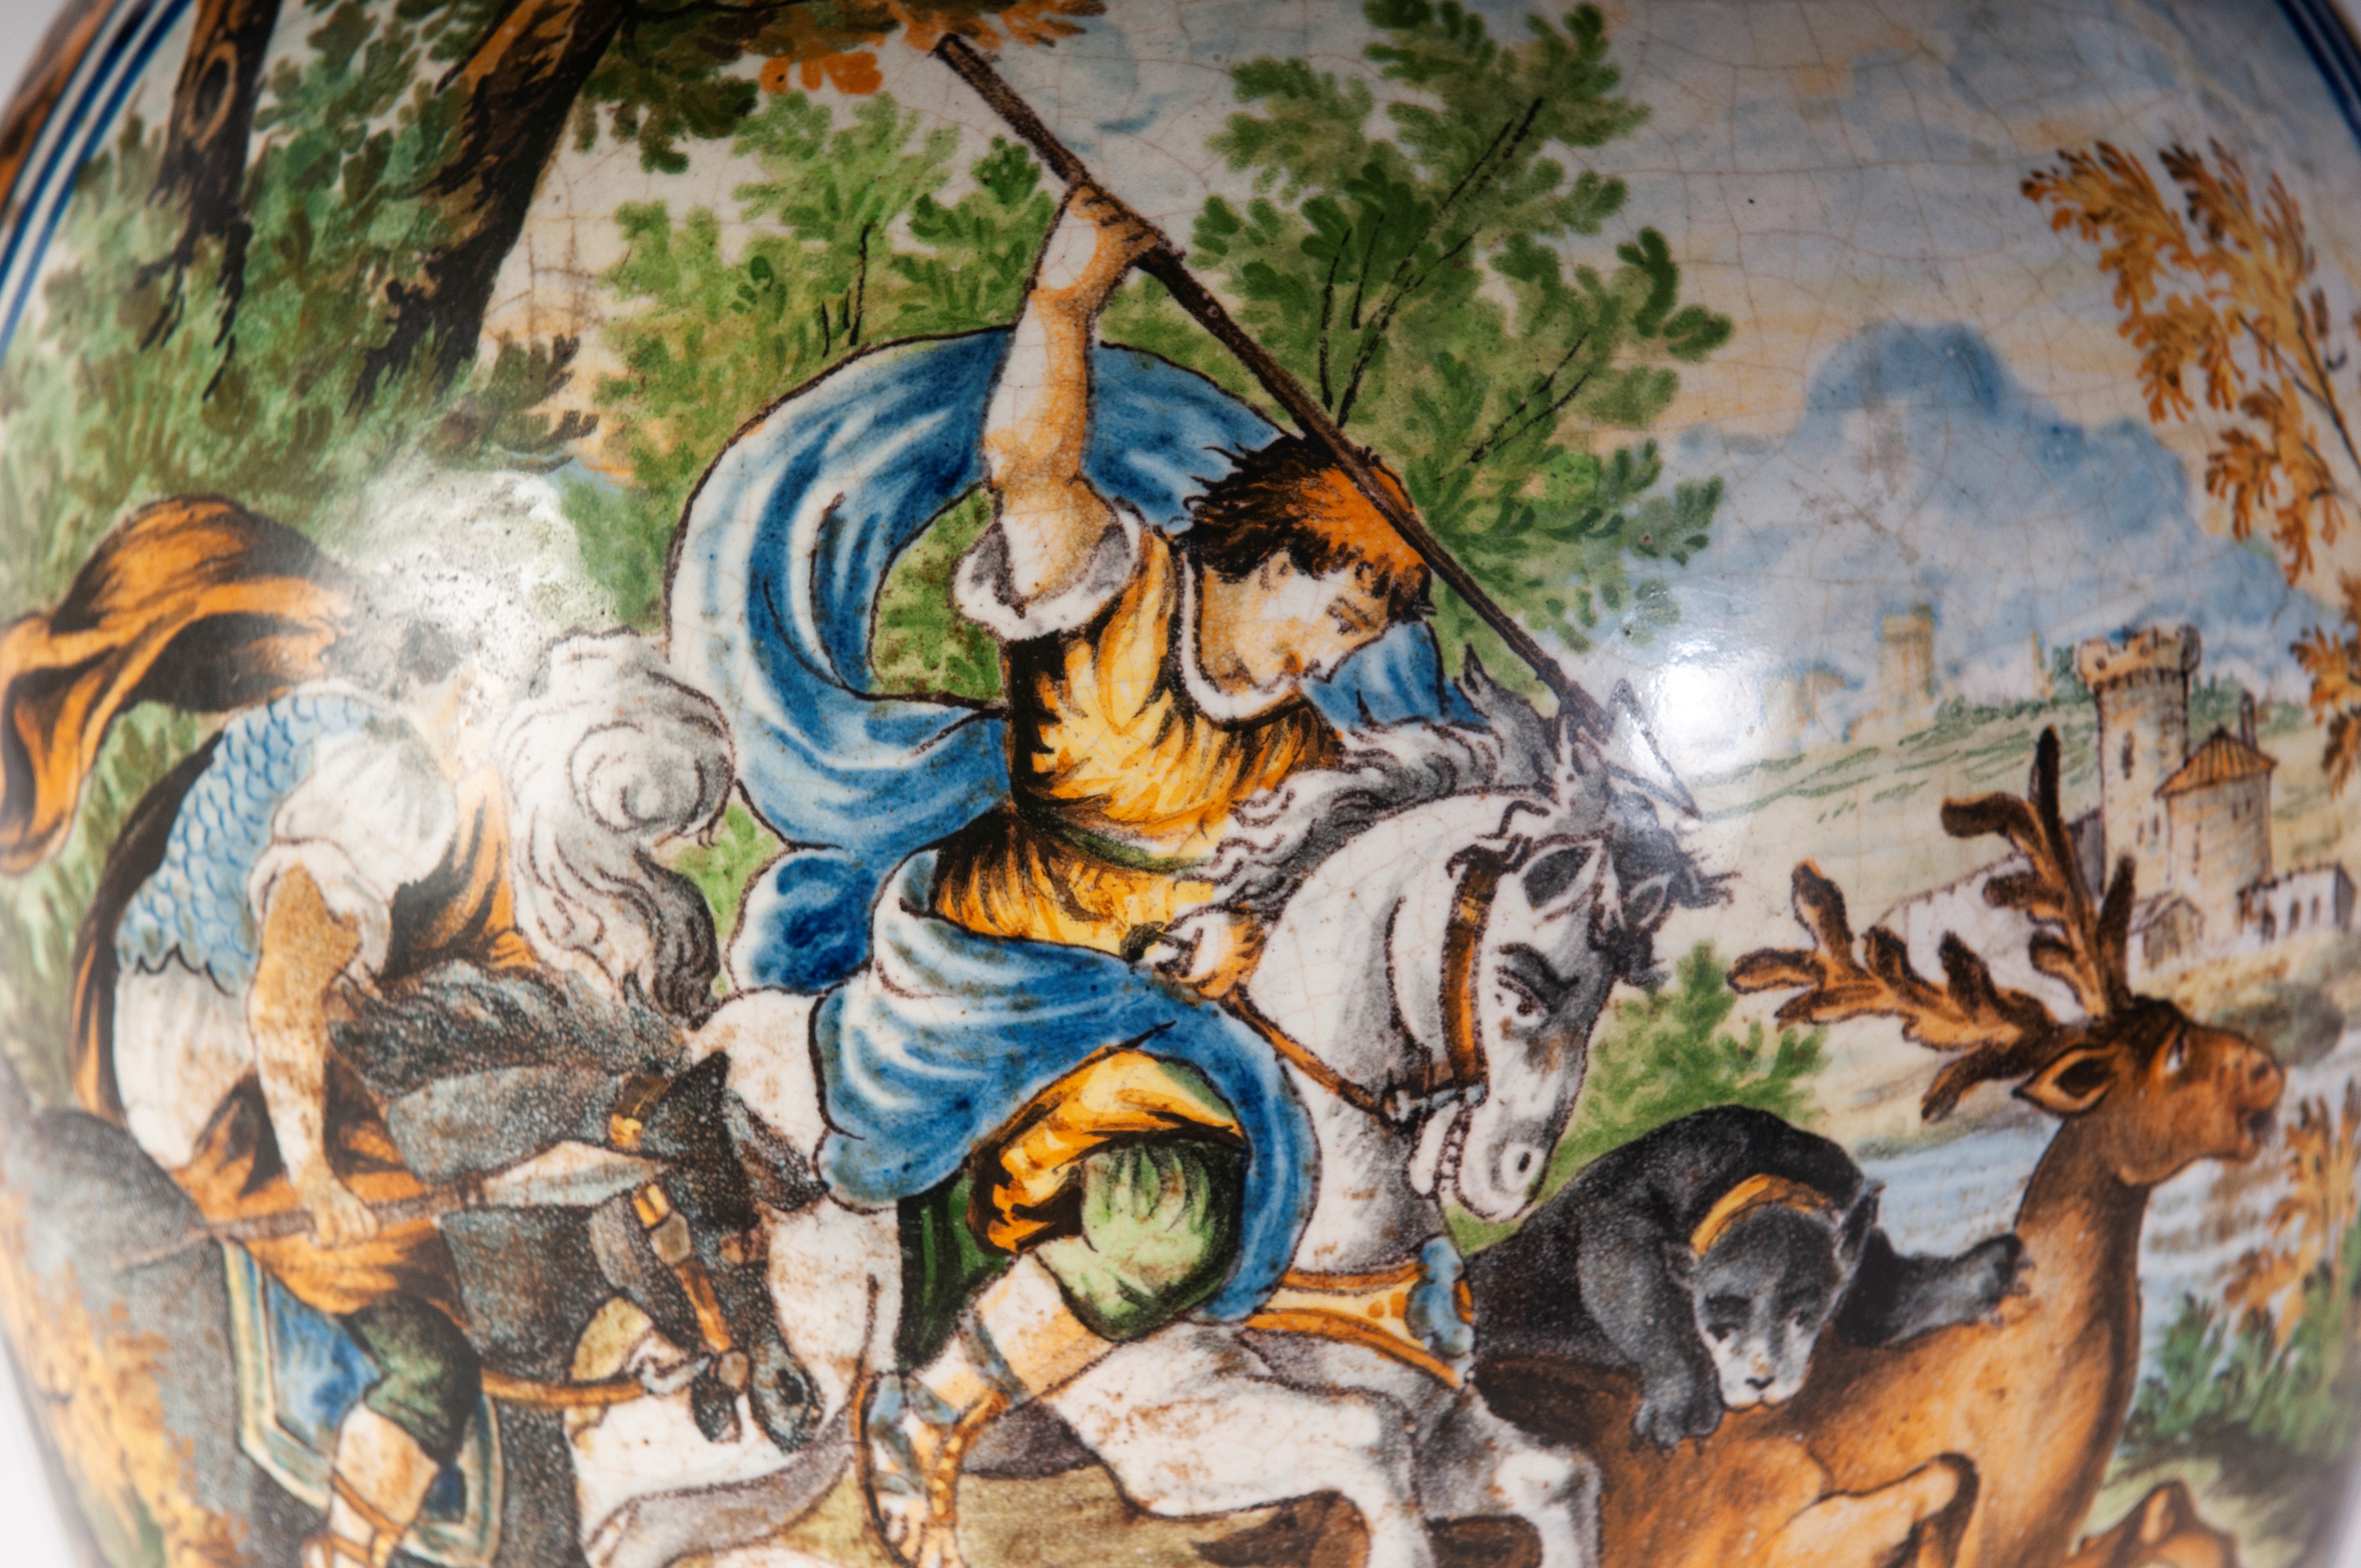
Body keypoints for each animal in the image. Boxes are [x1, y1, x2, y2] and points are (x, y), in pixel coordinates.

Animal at [564, 663, 1719, 1568]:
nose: (1510, 1172)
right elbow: (1369, 1449)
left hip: (786, 1457)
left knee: (637, 1536)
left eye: (1604, 992)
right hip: (730, 1422)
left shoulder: (1445, 1428)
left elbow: (1560, 1477)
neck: (1330, 1210)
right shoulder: (1182, 1433)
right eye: (1524, 979)